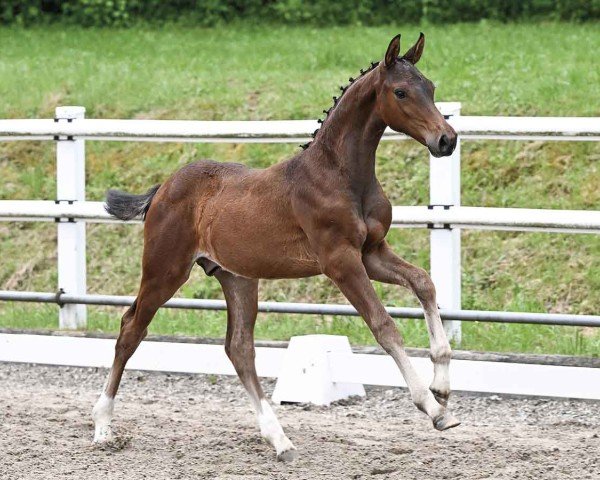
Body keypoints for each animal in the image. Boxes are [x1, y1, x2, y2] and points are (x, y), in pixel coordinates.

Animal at [92, 33, 460, 462]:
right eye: (401, 91)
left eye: (430, 87)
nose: (446, 139)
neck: (340, 174)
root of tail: (162, 189)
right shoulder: (340, 261)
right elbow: (384, 325)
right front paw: (434, 409)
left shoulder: (372, 252)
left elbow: (424, 282)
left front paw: (442, 387)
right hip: (164, 270)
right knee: (131, 328)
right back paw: (103, 427)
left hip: (236, 278)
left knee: (239, 349)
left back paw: (279, 440)